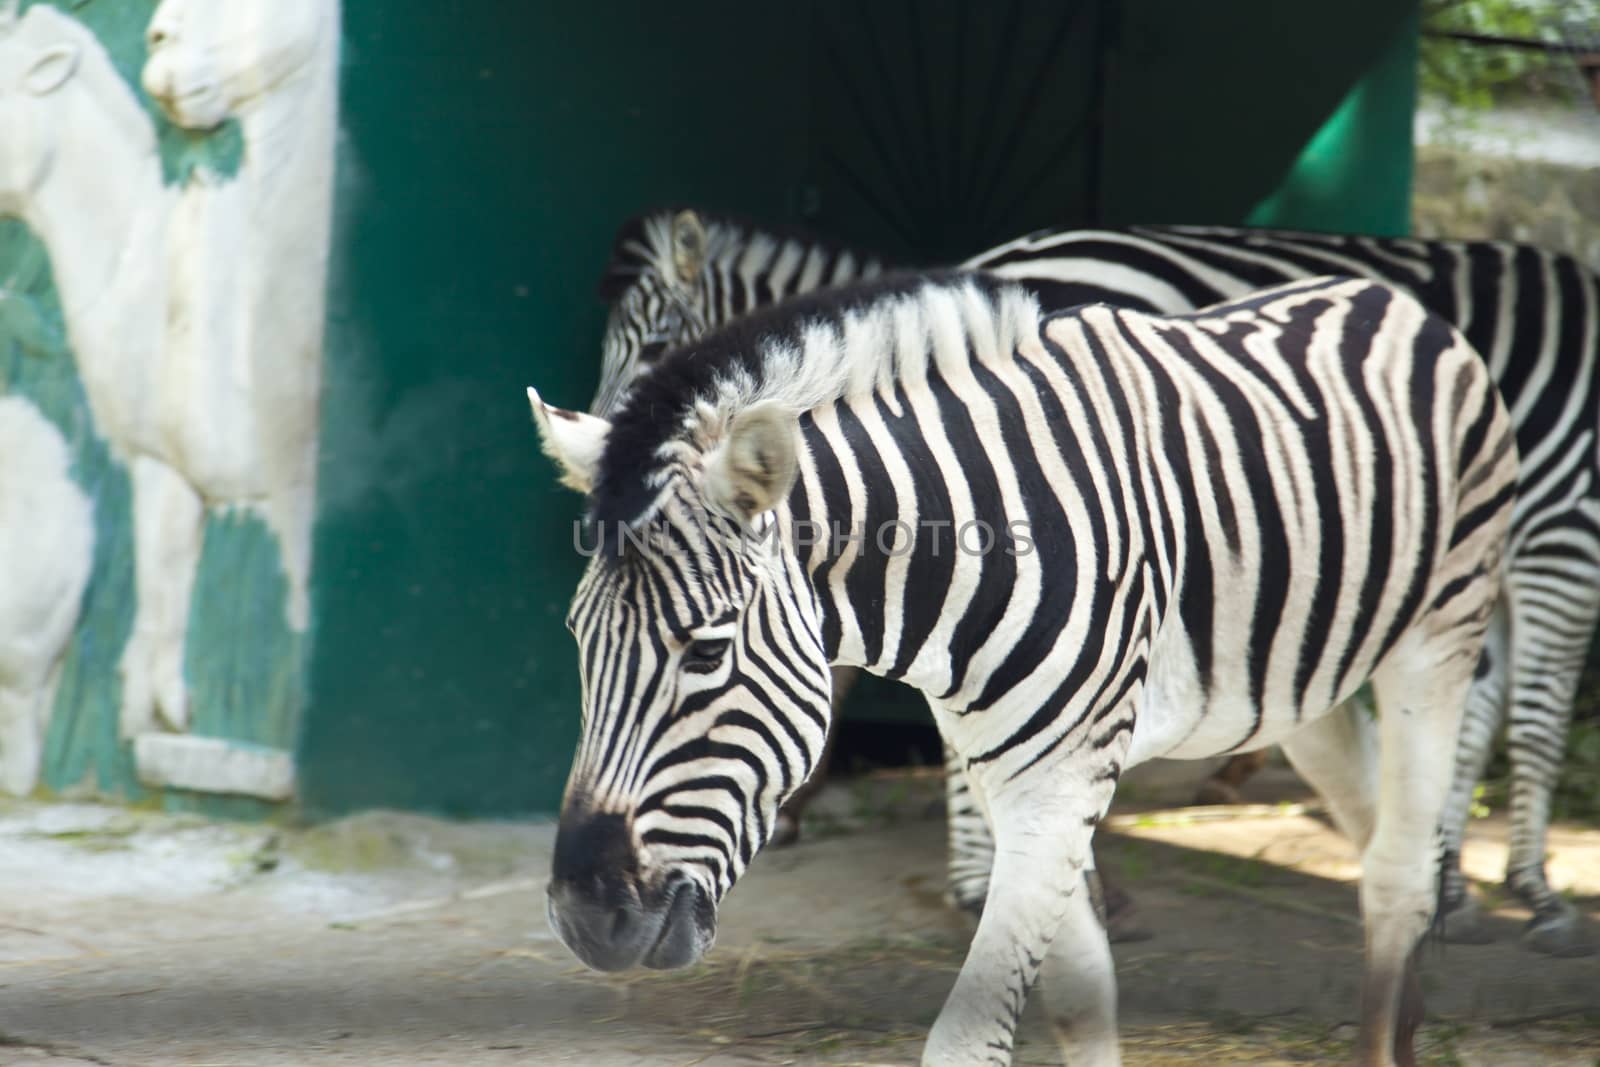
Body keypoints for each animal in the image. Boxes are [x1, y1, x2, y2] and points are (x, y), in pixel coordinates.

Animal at [534, 271, 1510, 1067]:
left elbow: (968, 1040)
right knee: (1377, 829)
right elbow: (1080, 999)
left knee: (1396, 871)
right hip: (1299, 681)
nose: (586, 918)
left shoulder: (1063, 777)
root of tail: (1392, 296)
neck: (972, 547)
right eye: (577, 642)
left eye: (705, 650)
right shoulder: (1006, 775)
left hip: (1439, 636)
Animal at [592, 207, 1600, 953]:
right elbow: (1529, 713)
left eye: (653, 344)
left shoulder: (1546, 535)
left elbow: (1501, 712)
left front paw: (1466, 880)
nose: (602, 483)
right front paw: (1523, 891)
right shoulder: (1560, 530)